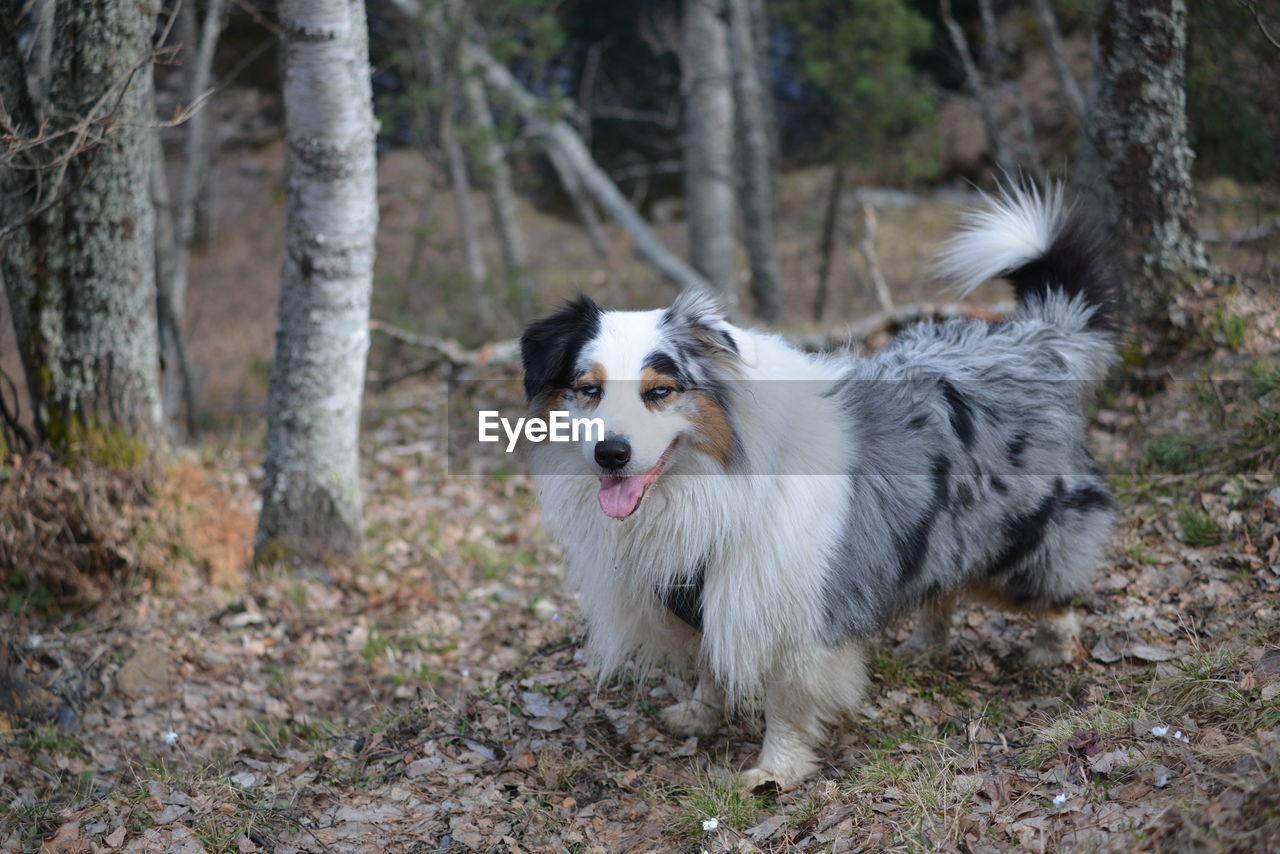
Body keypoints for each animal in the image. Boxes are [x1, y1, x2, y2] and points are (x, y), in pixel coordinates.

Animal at [519, 186, 1121, 788]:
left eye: (660, 391)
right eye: (589, 389)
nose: (611, 453)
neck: (709, 481)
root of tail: (1030, 338)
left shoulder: (793, 606)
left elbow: (786, 701)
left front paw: (774, 772)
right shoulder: (713, 597)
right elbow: (712, 666)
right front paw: (699, 714)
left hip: (1019, 534)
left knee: (1053, 589)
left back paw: (1052, 649)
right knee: (942, 586)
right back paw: (925, 644)